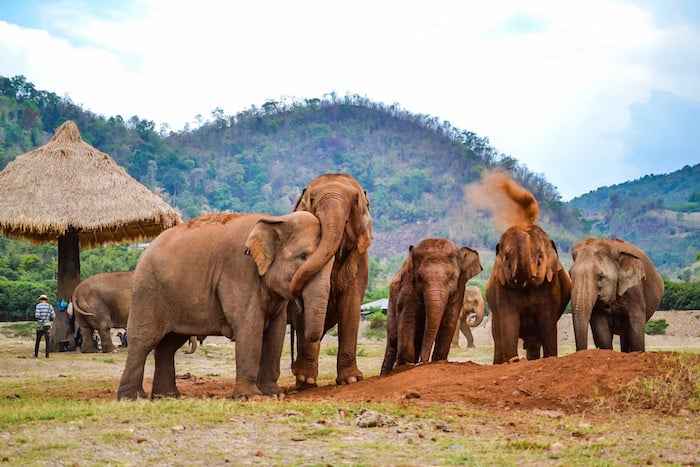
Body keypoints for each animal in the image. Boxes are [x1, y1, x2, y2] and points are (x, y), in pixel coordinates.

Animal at [117, 211, 335, 400]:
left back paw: (168, 397)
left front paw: (274, 394)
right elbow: (249, 327)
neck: (277, 219)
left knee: (169, 345)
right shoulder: (239, 270)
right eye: (303, 256)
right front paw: (251, 397)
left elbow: (276, 333)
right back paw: (133, 398)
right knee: (143, 340)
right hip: (147, 291)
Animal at [288, 173, 373, 387]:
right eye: (311, 200)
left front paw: (351, 380)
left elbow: (350, 307)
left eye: (355, 202)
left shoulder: (360, 261)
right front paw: (307, 379)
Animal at [380, 238, 482, 376]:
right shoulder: (408, 288)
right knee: (392, 340)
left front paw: (438, 360)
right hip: (391, 302)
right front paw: (403, 365)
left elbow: (449, 322)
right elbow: (408, 318)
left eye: (452, 278)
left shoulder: (458, 291)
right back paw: (388, 373)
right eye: (419, 278)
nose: (423, 362)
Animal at [485, 224, 572, 364]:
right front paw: (513, 361)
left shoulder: (551, 284)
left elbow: (547, 321)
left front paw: (550, 357)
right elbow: (510, 321)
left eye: (540, 256)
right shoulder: (502, 287)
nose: (523, 227)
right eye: (507, 256)